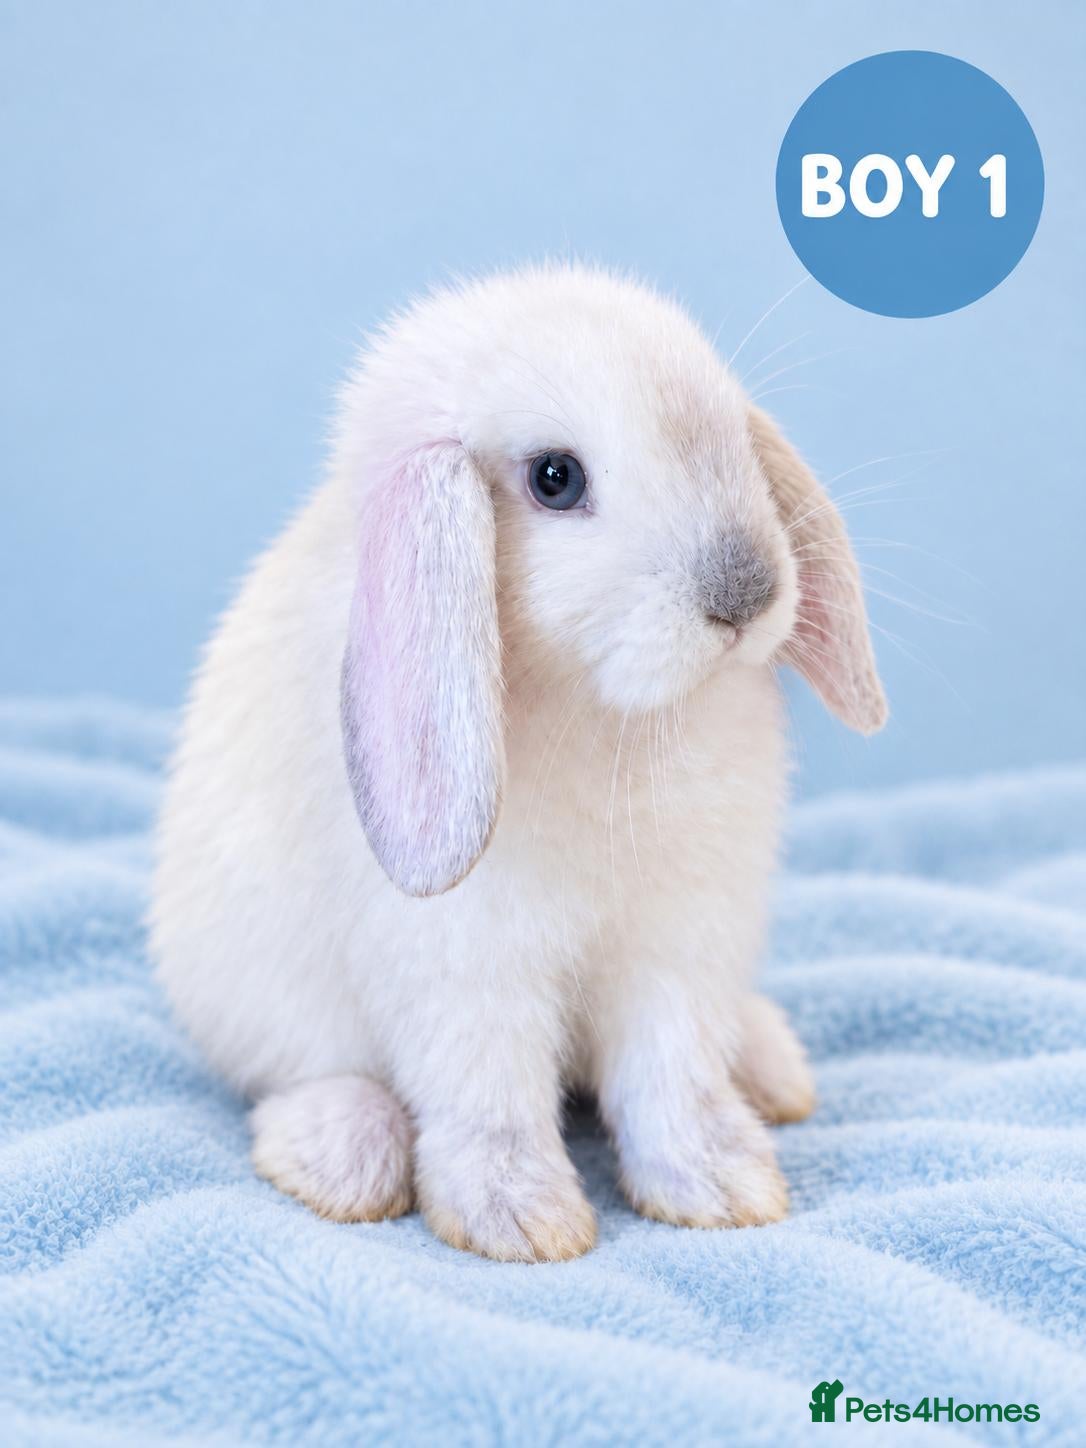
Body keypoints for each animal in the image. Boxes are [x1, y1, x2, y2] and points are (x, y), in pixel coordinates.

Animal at [150, 263, 886, 1262]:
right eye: (554, 478)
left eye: (731, 439)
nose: (748, 594)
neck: (607, 713)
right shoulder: (470, 971)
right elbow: (488, 1100)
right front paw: (523, 1224)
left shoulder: (675, 952)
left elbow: (673, 1079)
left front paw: (723, 1189)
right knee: (304, 1081)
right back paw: (345, 1155)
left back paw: (773, 1071)